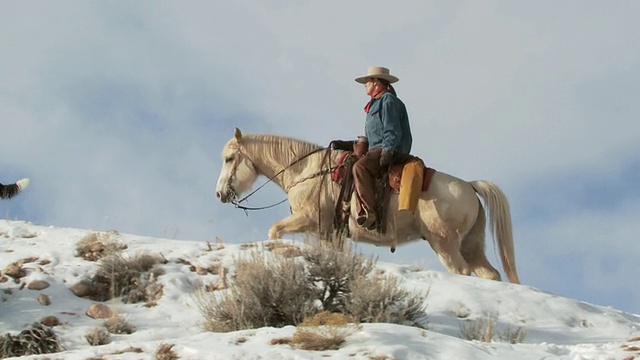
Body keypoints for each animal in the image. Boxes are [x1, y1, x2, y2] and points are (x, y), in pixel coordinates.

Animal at [215, 127, 520, 284]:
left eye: (229, 158)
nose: (219, 194)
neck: (308, 171)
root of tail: (469, 185)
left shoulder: (307, 219)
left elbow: (274, 231)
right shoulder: (330, 235)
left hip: (445, 244)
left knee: (463, 272)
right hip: (471, 245)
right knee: (490, 274)